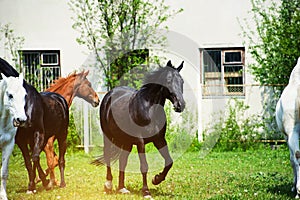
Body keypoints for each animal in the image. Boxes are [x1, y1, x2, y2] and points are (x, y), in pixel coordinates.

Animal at [0, 57, 68, 192]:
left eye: (24, 95)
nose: (20, 119)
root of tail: (61, 99)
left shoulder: (38, 133)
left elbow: (35, 157)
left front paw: (44, 182)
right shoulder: (21, 139)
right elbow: (29, 160)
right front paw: (32, 185)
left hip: (62, 135)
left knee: (61, 159)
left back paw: (62, 183)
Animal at [91, 60, 185, 198]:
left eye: (181, 81)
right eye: (168, 81)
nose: (180, 105)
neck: (150, 109)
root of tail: (109, 95)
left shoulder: (159, 139)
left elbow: (169, 161)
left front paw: (156, 179)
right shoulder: (140, 141)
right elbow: (144, 166)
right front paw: (146, 191)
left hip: (127, 142)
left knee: (122, 161)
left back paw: (122, 188)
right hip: (108, 137)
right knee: (108, 156)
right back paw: (108, 185)